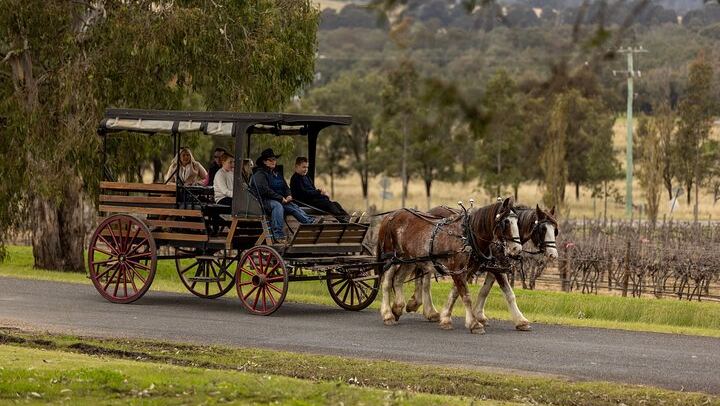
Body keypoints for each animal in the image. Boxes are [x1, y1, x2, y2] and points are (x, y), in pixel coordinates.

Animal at [376, 197, 522, 334]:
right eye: (506, 222)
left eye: (517, 222)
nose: (517, 249)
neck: (467, 236)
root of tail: (390, 215)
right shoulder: (458, 270)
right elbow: (466, 296)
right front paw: (474, 324)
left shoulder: (466, 271)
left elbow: (455, 293)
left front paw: (446, 319)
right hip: (391, 258)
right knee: (387, 283)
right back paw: (388, 315)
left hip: (409, 259)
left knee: (398, 280)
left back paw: (397, 308)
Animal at [406, 204, 559, 331]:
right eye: (543, 229)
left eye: (555, 230)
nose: (553, 254)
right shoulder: (494, 269)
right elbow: (509, 293)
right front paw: (521, 321)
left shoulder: (494, 268)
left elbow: (483, 290)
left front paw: (478, 315)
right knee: (424, 280)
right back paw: (426, 309)